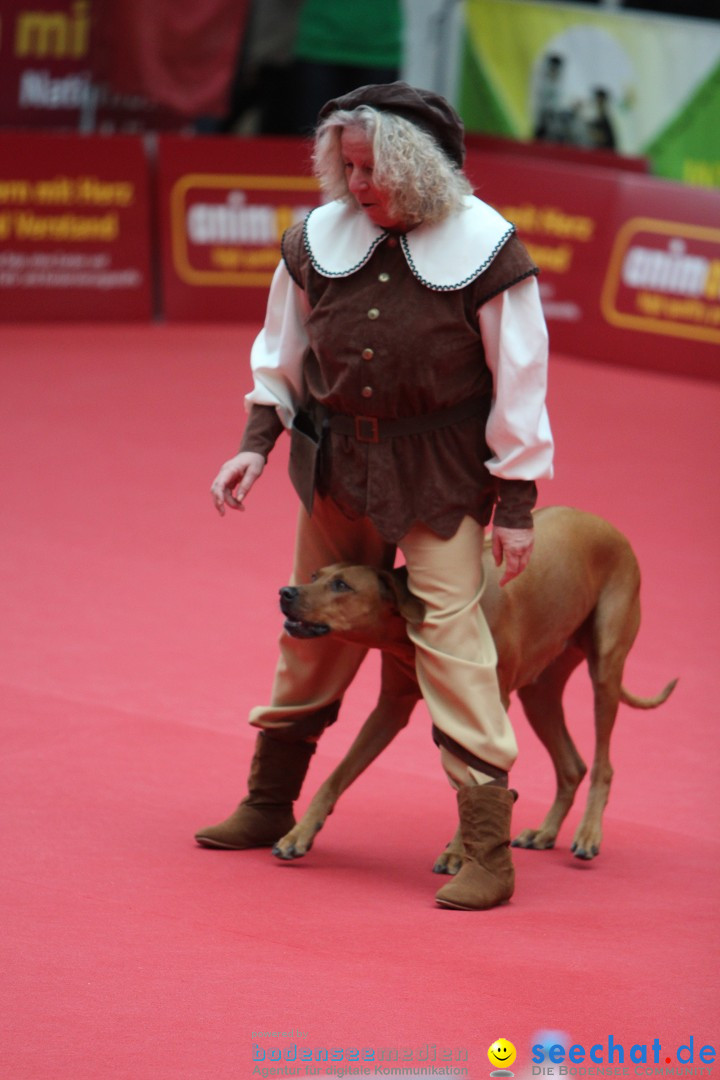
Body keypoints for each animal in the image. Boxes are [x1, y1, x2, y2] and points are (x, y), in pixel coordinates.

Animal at [273, 505, 677, 868]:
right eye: (315, 574)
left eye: (342, 585)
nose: (286, 592)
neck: (419, 618)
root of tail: (605, 523)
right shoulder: (391, 707)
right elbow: (336, 775)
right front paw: (299, 833)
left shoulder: (485, 713)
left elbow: (476, 779)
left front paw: (457, 854)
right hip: (539, 694)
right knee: (571, 766)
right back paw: (545, 832)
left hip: (605, 669)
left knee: (601, 765)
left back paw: (589, 834)